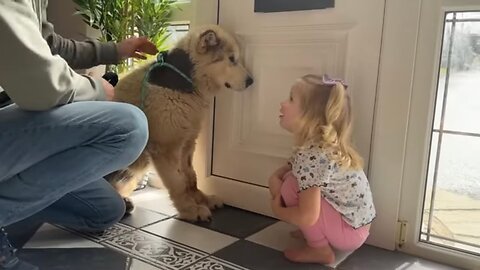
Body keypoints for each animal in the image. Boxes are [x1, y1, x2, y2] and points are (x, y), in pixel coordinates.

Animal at [107, 24, 253, 220]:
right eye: (231, 59)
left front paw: (202, 199)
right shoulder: (166, 149)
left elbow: (191, 178)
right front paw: (190, 209)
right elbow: (178, 183)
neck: (186, 77)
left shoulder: (187, 143)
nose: (251, 81)